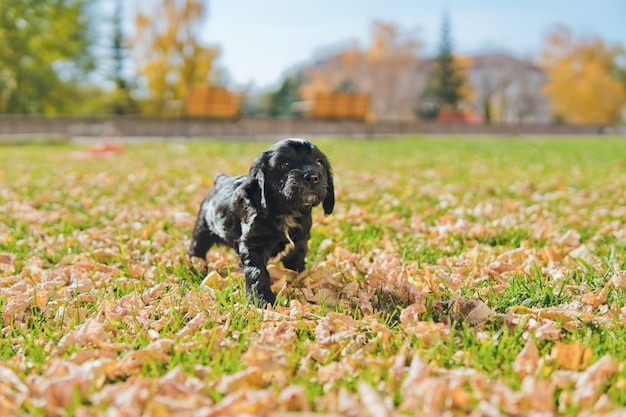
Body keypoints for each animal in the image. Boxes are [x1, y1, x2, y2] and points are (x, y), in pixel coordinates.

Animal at [188, 138, 334, 304]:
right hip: (203, 229)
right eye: (284, 164)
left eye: (319, 162)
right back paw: (196, 270)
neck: (288, 212)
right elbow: (258, 272)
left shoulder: (299, 243)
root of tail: (220, 179)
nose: (312, 177)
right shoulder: (252, 245)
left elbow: (296, 266)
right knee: (196, 250)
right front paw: (263, 300)